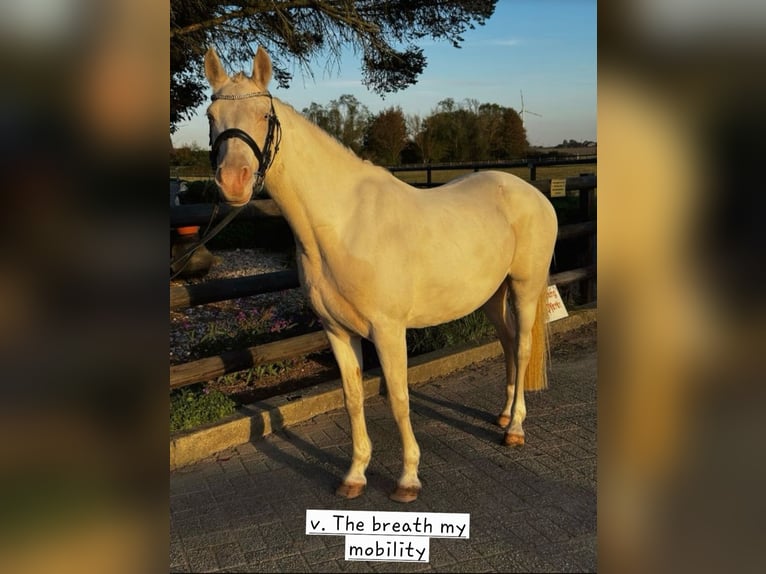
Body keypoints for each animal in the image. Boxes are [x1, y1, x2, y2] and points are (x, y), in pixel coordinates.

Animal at [203, 47, 559, 503]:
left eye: (264, 115)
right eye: (211, 115)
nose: (233, 183)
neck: (344, 223)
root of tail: (531, 192)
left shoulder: (389, 332)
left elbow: (399, 399)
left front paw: (408, 479)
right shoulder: (337, 331)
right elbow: (353, 398)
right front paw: (355, 475)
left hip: (525, 289)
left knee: (524, 348)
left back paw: (515, 429)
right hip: (493, 296)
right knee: (509, 344)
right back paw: (503, 415)